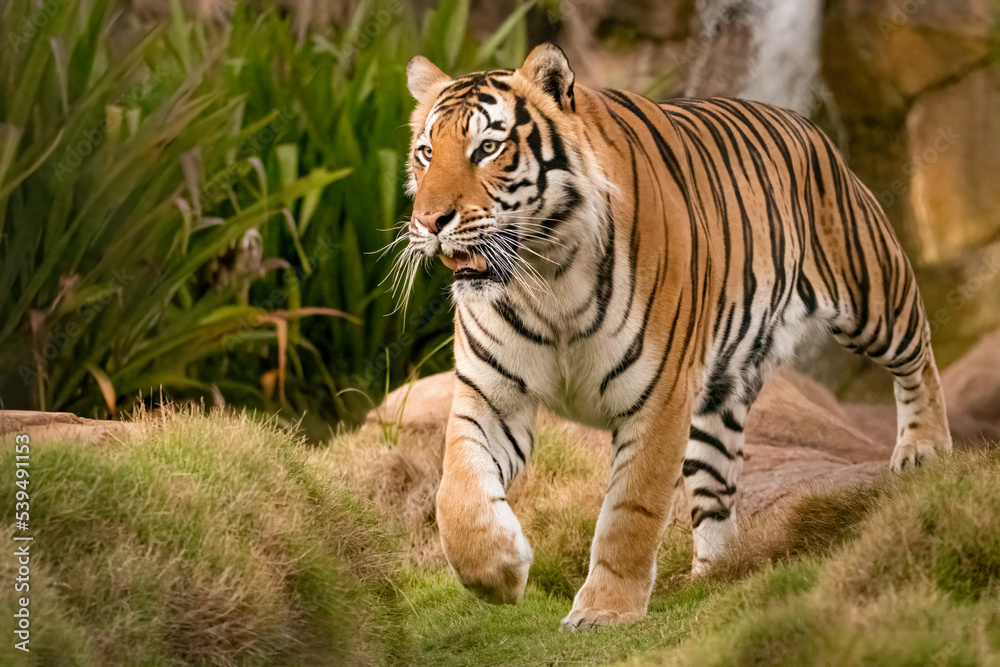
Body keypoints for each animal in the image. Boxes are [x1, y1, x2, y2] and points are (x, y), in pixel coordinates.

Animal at [399, 43, 952, 630]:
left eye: (487, 148)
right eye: (426, 153)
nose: (430, 221)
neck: (547, 277)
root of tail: (805, 123)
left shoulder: (658, 398)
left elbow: (630, 511)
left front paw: (605, 610)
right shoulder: (491, 394)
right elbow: (457, 488)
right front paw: (498, 573)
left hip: (869, 290)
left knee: (918, 353)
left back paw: (924, 449)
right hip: (718, 391)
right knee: (716, 487)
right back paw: (715, 575)